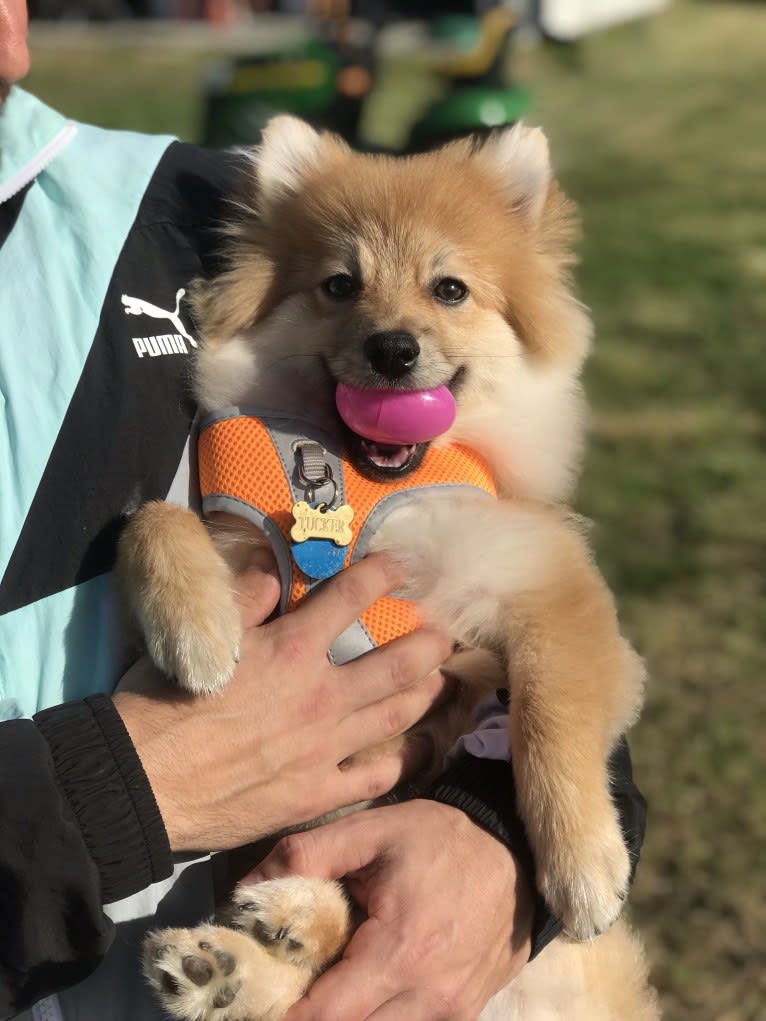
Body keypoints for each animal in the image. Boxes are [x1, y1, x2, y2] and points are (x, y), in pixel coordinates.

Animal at [120, 117, 661, 1021]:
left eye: (449, 289)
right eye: (340, 285)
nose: (393, 347)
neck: (367, 483)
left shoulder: (540, 579)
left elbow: (550, 709)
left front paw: (585, 864)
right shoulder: (240, 541)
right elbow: (152, 518)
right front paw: (194, 629)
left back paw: (273, 931)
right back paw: (233, 958)